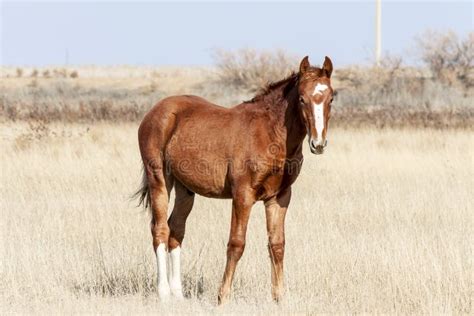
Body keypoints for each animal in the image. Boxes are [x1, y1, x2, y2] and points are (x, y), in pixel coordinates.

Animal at [135, 56, 336, 304]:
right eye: (301, 98)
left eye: (331, 98)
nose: (318, 144)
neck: (270, 134)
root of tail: (155, 111)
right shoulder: (243, 195)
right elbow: (236, 243)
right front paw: (223, 296)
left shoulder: (279, 197)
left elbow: (277, 244)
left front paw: (279, 297)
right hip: (159, 179)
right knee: (160, 229)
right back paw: (163, 293)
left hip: (185, 189)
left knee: (176, 230)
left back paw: (178, 294)